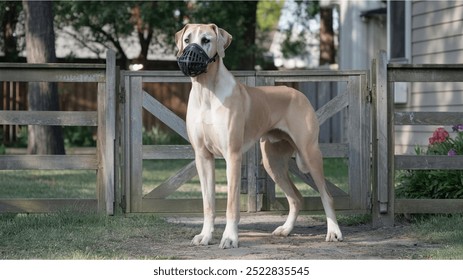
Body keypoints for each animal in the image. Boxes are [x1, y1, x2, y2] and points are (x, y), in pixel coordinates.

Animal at [176, 23, 342, 248]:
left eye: (206, 40)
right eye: (187, 40)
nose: (188, 53)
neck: (207, 91)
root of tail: (298, 93)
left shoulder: (233, 156)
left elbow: (231, 205)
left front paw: (230, 238)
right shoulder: (203, 157)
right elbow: (208, 204)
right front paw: (205, 235)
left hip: (310, 154)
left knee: (327, 195)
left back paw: (334, 231)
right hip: (273, 162)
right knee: (296, 198)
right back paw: (286, 229)